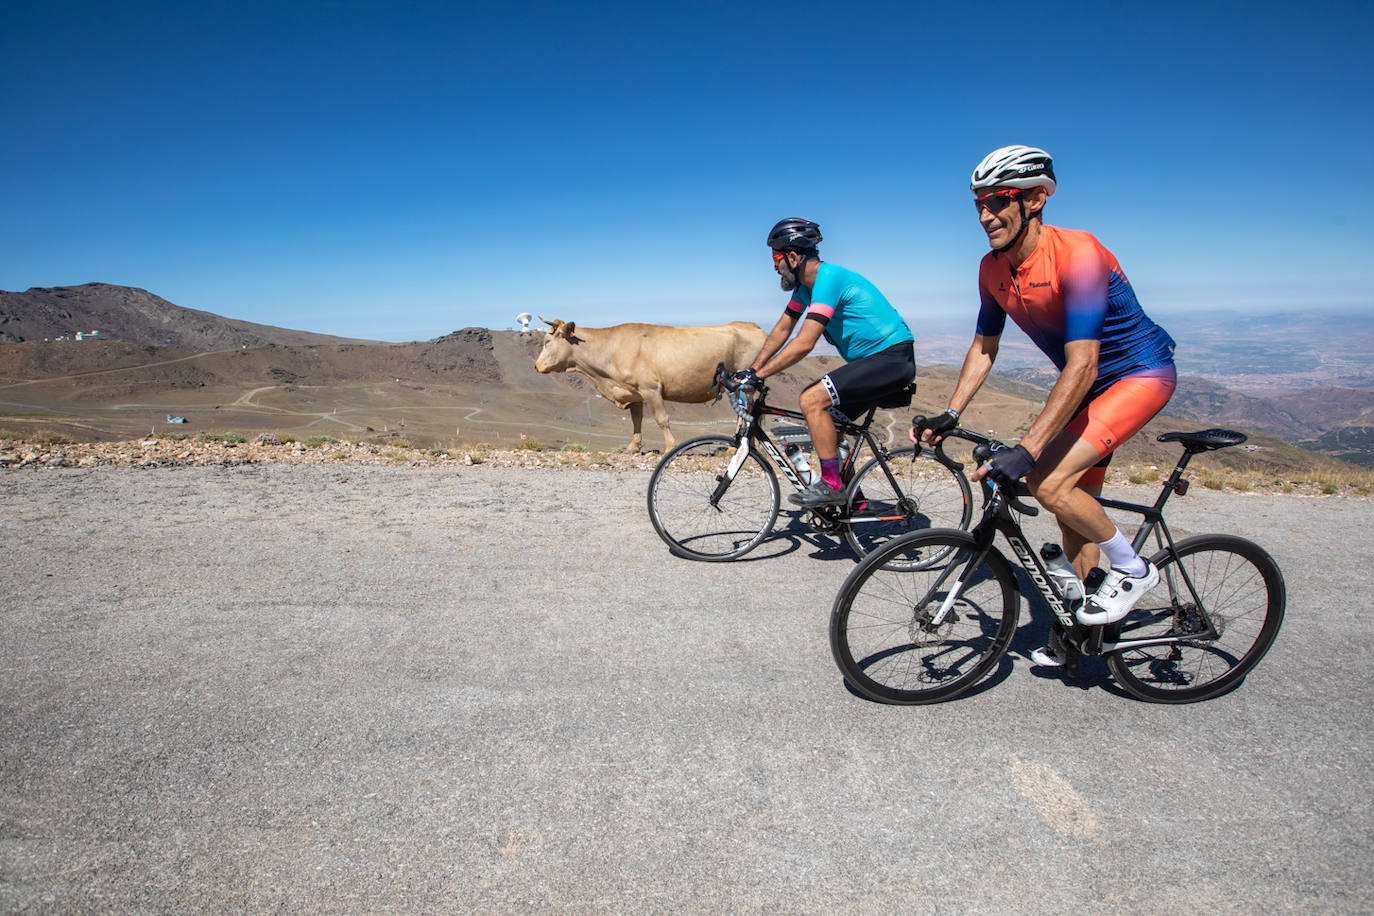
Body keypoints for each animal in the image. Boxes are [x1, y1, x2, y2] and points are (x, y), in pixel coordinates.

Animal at [533, 318, 769, 455]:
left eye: (547, 342)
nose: (536, 366)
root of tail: (752, 326)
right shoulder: (634, 391)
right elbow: (636, 420)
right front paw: (633, 447)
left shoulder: (651, 389)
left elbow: (661, 419)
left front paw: (670, 447)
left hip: (746, 387)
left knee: (746, 415)